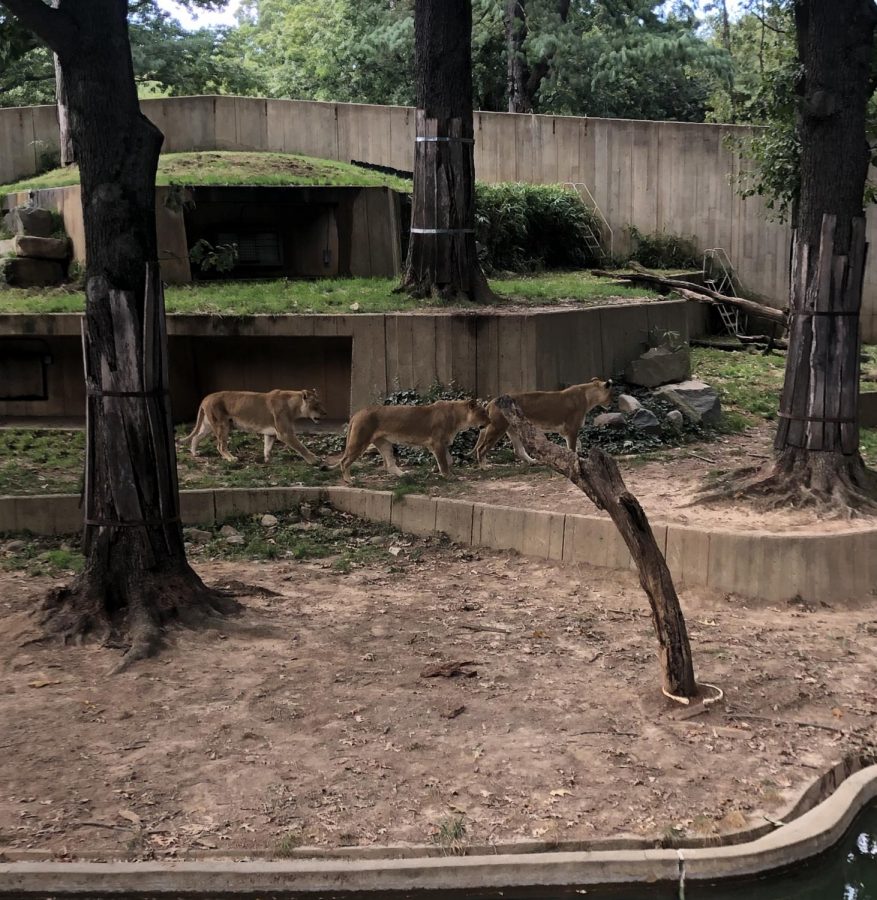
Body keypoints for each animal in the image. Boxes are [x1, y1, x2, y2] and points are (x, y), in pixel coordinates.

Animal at [185, 388, 326, 464]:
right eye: (316, 405)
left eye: (320, 403)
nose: (325, 413)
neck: (294, 407)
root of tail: (206, 397)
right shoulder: (285, 433)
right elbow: (301, 447)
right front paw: (314, 459)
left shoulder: (271, 433)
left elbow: (267, 447)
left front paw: (267, 460)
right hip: (222, 425)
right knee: (220, 446)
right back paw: (231, 458)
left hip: (208, 425)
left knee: (196, 437)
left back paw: (194, 453)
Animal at [338, 400, 490, 486]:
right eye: (483, 413)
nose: (490, 422)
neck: (458, 418)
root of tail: (357, 413)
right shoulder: (437, 443)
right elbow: (444, 462)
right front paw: (448, 476)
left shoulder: (442, 444)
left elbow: (449, 460)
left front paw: (435, 470)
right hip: (359, 441)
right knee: (344, 461)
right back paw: (349, 480)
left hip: (384, 443)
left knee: (389, 465)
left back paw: (404, 475)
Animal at [476, 376, 612, 468]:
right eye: (612, 394)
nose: (611, 403)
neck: (588, 397)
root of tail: (491, 402)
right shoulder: (572, 428)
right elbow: (572, 447)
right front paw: (575, 461)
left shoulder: (566, 431)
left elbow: (577, 443)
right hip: (497, 428)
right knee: (481, 448)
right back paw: (484, 467)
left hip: (513, 430)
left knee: (518, 450)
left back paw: (533, 462)